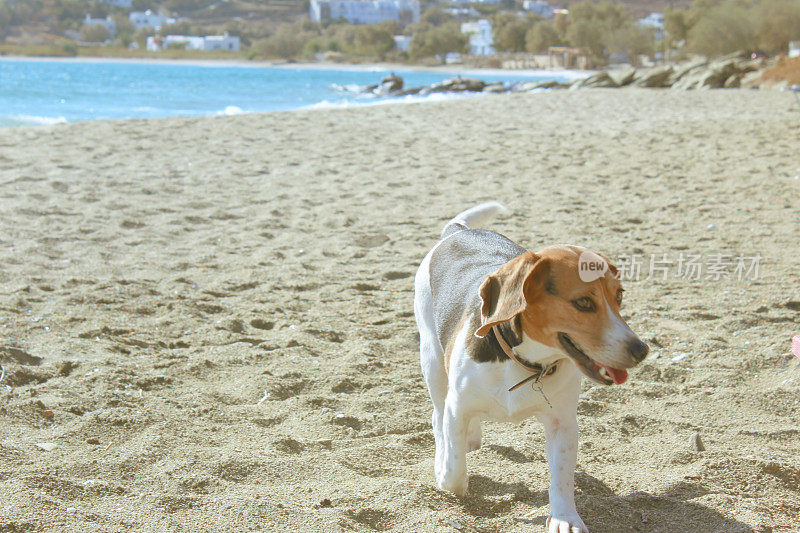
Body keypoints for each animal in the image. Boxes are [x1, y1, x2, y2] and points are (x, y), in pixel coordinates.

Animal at [412, 202, 648, 528]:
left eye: (619, 296)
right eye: (583, 303)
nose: (641, 350)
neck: (526, 363)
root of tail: (458, 231)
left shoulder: (564, 422)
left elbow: (561, 478)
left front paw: (565, 518)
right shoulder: (457, 407)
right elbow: (454, 474)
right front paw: (444, 471)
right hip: (432, 360)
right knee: (438, 416)